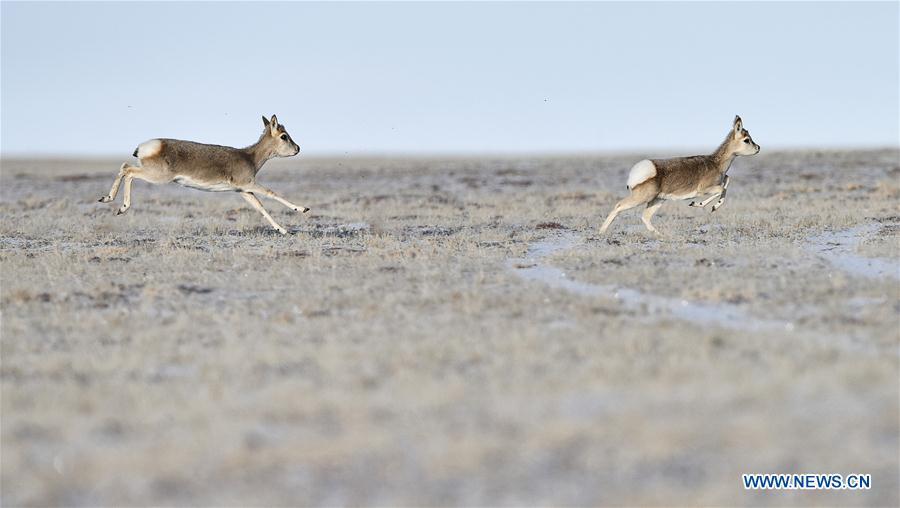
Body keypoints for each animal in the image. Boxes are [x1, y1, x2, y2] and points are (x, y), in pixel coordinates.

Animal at [99, 114, 310, 234]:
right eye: (284, 136)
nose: (298, 148)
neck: (249, 156)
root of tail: (147, 146)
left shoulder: (243, 191)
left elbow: (259, 207)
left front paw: (282, 230)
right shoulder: (248, 184)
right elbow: (271, 193)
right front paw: (302, 209)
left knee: (124, 166)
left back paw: (107, 199)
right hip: (157, 176)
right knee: (128, 171)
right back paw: (121, 206)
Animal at [596, 115, 760, 236]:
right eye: (746, 140)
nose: (758, 147)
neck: (715, 162)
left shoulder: (722, 180)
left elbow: (726, 183)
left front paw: (713, 207)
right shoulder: (703, 190)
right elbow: (720, 190)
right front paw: (698, 204)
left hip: (658, 201)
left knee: (645, 216)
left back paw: (660, 235)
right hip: (641, 199)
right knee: (618, 206)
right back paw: (601, 231)